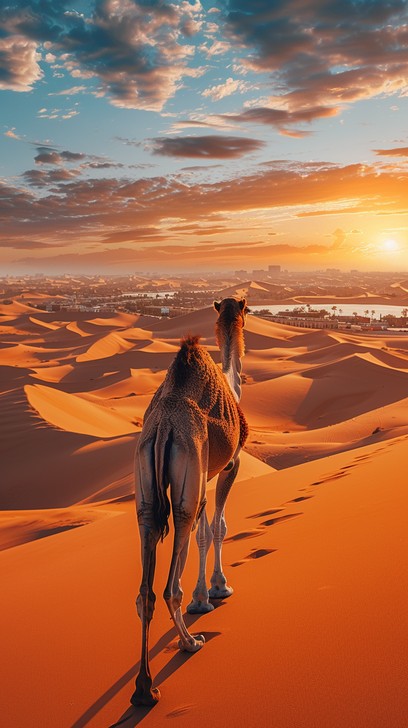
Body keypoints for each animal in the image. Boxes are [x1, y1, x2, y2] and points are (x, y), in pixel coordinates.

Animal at [131, 297, 248, 707]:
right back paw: (189, 643)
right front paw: (216, 589)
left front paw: (205, 595)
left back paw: (144, 689)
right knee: (170, 584)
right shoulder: (229, 465)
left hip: (146, 490)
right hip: (186, 484)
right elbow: (218, 527)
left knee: (146, 590)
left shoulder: (204, 476)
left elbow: (204, 531)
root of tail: (164, 427)